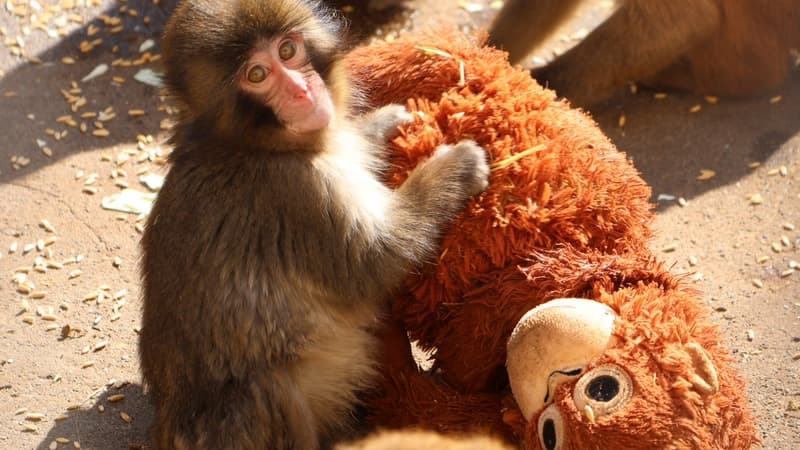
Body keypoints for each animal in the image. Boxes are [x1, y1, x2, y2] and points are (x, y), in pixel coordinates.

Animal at [138, 1, 490, 449]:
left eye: (288, 51)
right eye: (257, 75)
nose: (302, 92)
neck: (252, 145)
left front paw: (380, 124)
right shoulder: (298, 192)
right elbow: (376, 260)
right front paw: (455, 167)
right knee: (266, 388)